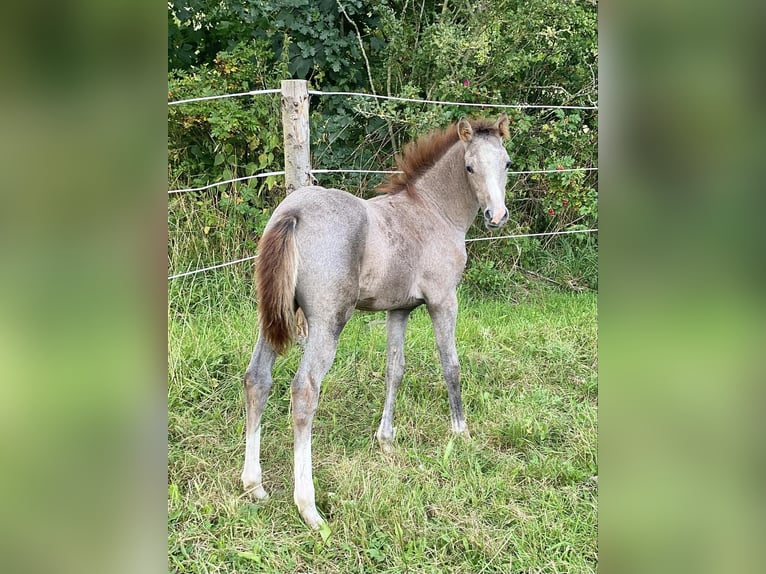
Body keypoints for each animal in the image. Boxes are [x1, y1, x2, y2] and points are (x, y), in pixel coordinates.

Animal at [243, 113, 512, 532]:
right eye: (470, 167)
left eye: (506, 163)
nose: (496, 216)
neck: (432, 211)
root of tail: (293, 212)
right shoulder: (443, 301)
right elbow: (450, 365)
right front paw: (461, 432)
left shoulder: (398, 309)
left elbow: (394, 369)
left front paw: (386, 440)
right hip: (327, 323)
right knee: (304, 391)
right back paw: (308, 508)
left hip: (273, 318)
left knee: (257, 379)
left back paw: (254, 486)